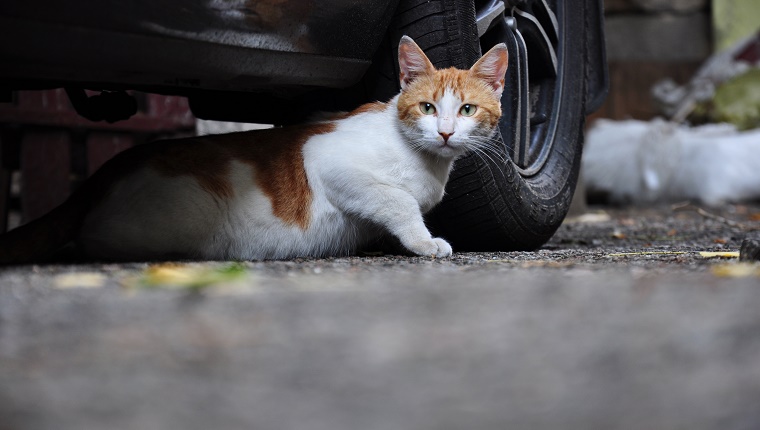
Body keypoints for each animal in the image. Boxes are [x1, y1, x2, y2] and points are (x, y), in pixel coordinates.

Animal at [1, 37, 510, 264]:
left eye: (466, 109)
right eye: (427, 107)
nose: (445, 132)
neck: (426, 162)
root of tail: (107, 169)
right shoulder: (330, 161)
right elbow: (398, 201)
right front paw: (424, 241)